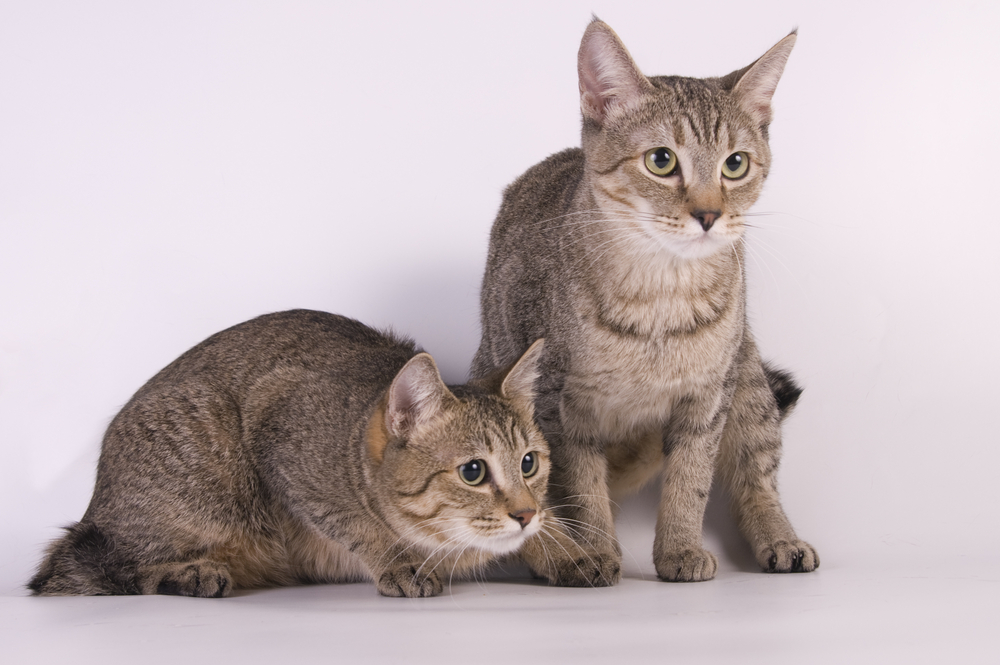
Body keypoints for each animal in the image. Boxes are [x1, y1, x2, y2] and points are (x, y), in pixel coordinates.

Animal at [31, 310, 564, 596]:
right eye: (473, 471)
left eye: (529, 463)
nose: (525, 514)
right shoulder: (281, 429)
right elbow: (352, 523)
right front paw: (396, 561)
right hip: (209, 453)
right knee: (93, 564)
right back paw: (191, 572)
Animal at [470, 19, 820, 580]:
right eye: (661, 161)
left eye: (735, 165)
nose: (709, 214)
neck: (661, 294)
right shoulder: (560, 405)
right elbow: (580, 490)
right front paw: (592, 551)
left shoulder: (707, 398)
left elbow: (691, 481)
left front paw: (679, 548)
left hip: (747, 377)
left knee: (757, 473)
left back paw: (779, 537)